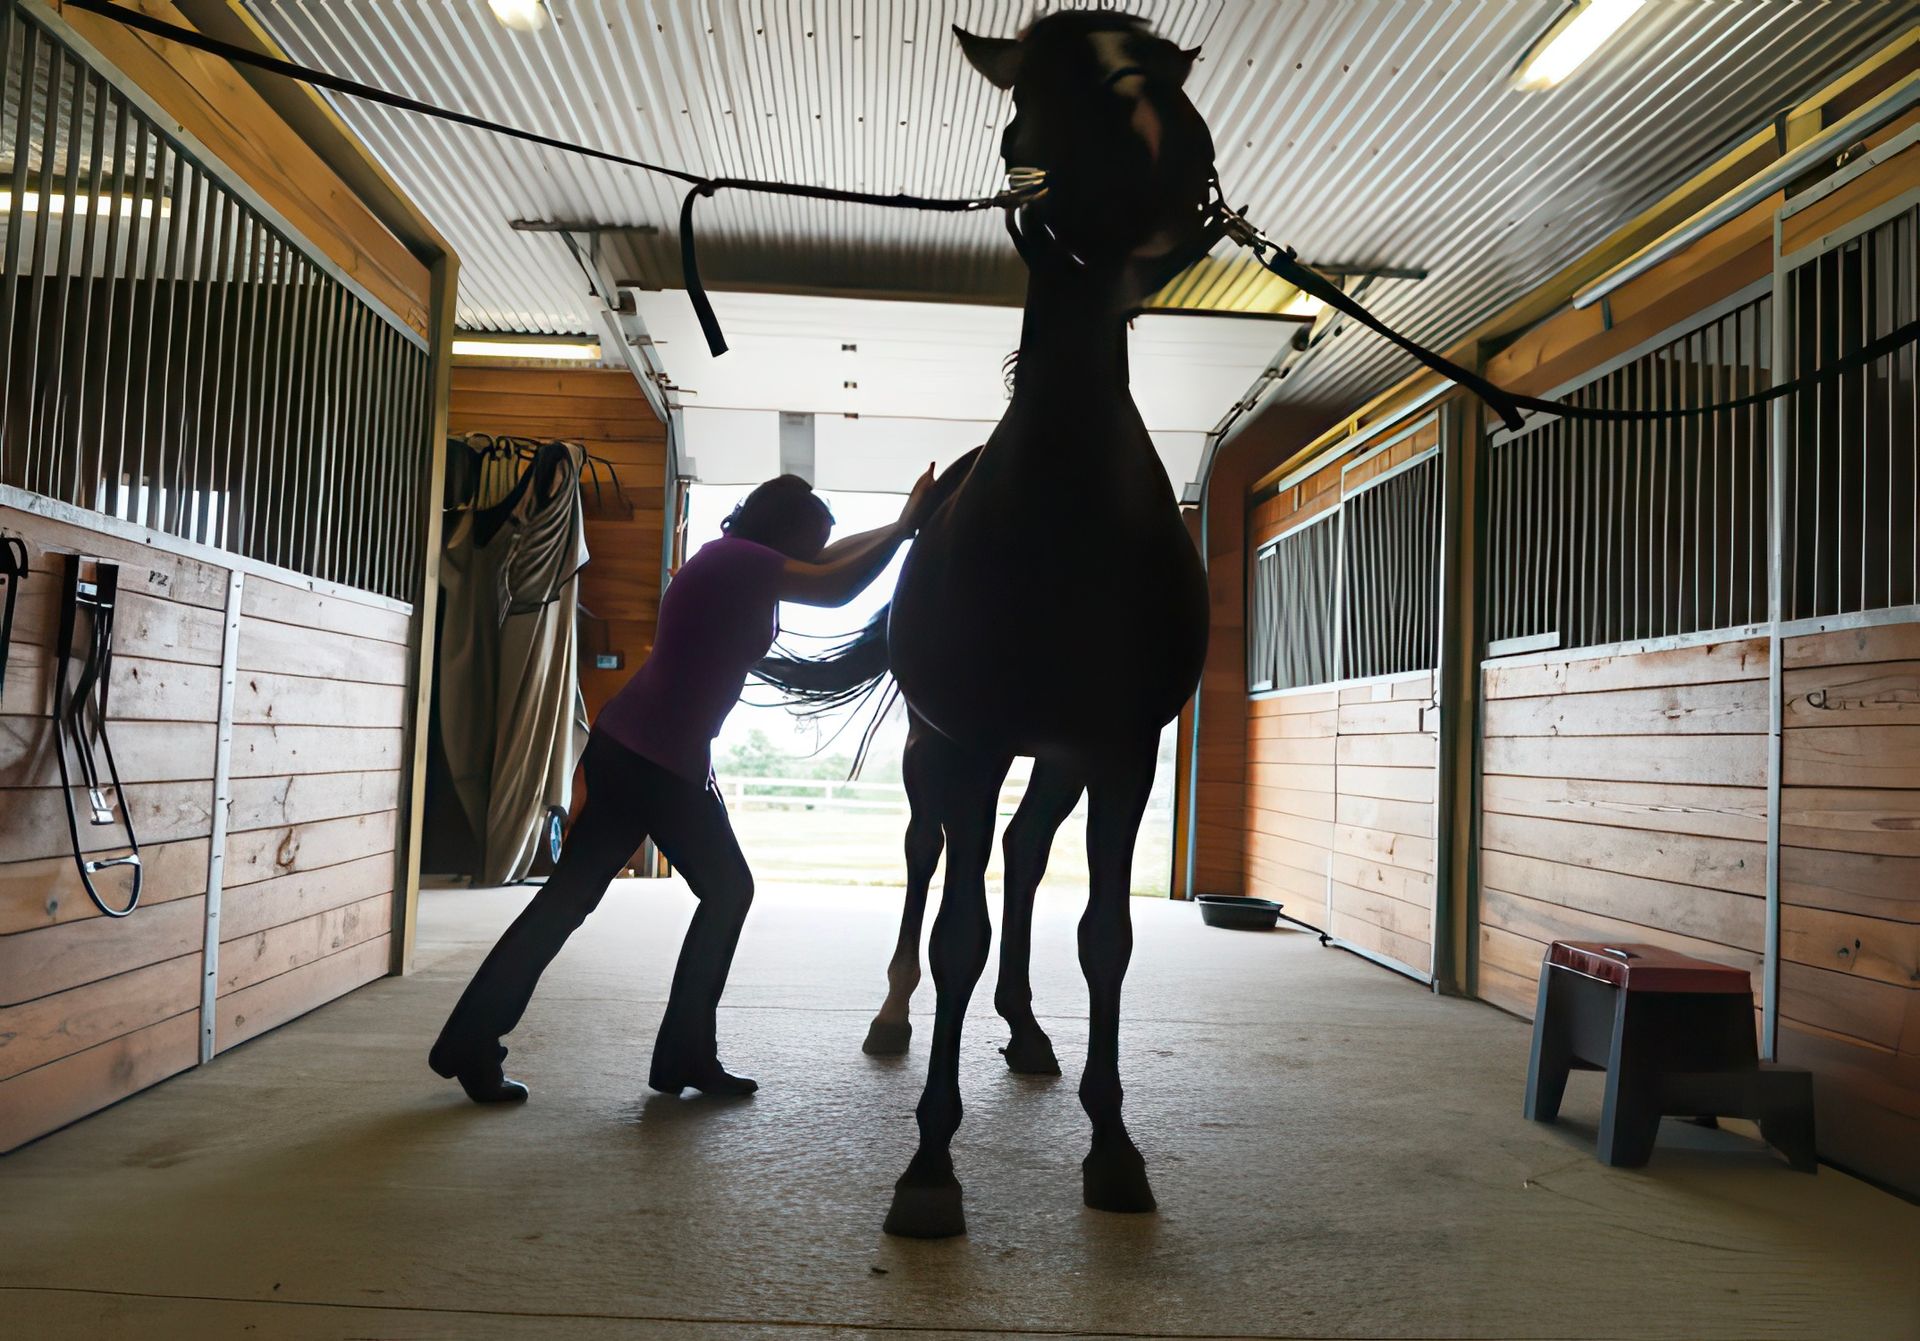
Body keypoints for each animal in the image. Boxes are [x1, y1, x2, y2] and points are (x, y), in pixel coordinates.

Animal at [757, 11, 1217, 1238]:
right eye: (1032, 96)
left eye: (1163, 68)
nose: (1164, 156)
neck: (1062, 510)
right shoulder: (968, 744)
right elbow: (955, 929)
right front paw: (929, 1165)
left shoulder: (1122, 752)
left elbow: (1105, 936)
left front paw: (1113, 1147)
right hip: (938, 753)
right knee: (932, 863)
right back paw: (894, 1017)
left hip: (1055, 759)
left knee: (1018, 853)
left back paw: (1025, 1028)